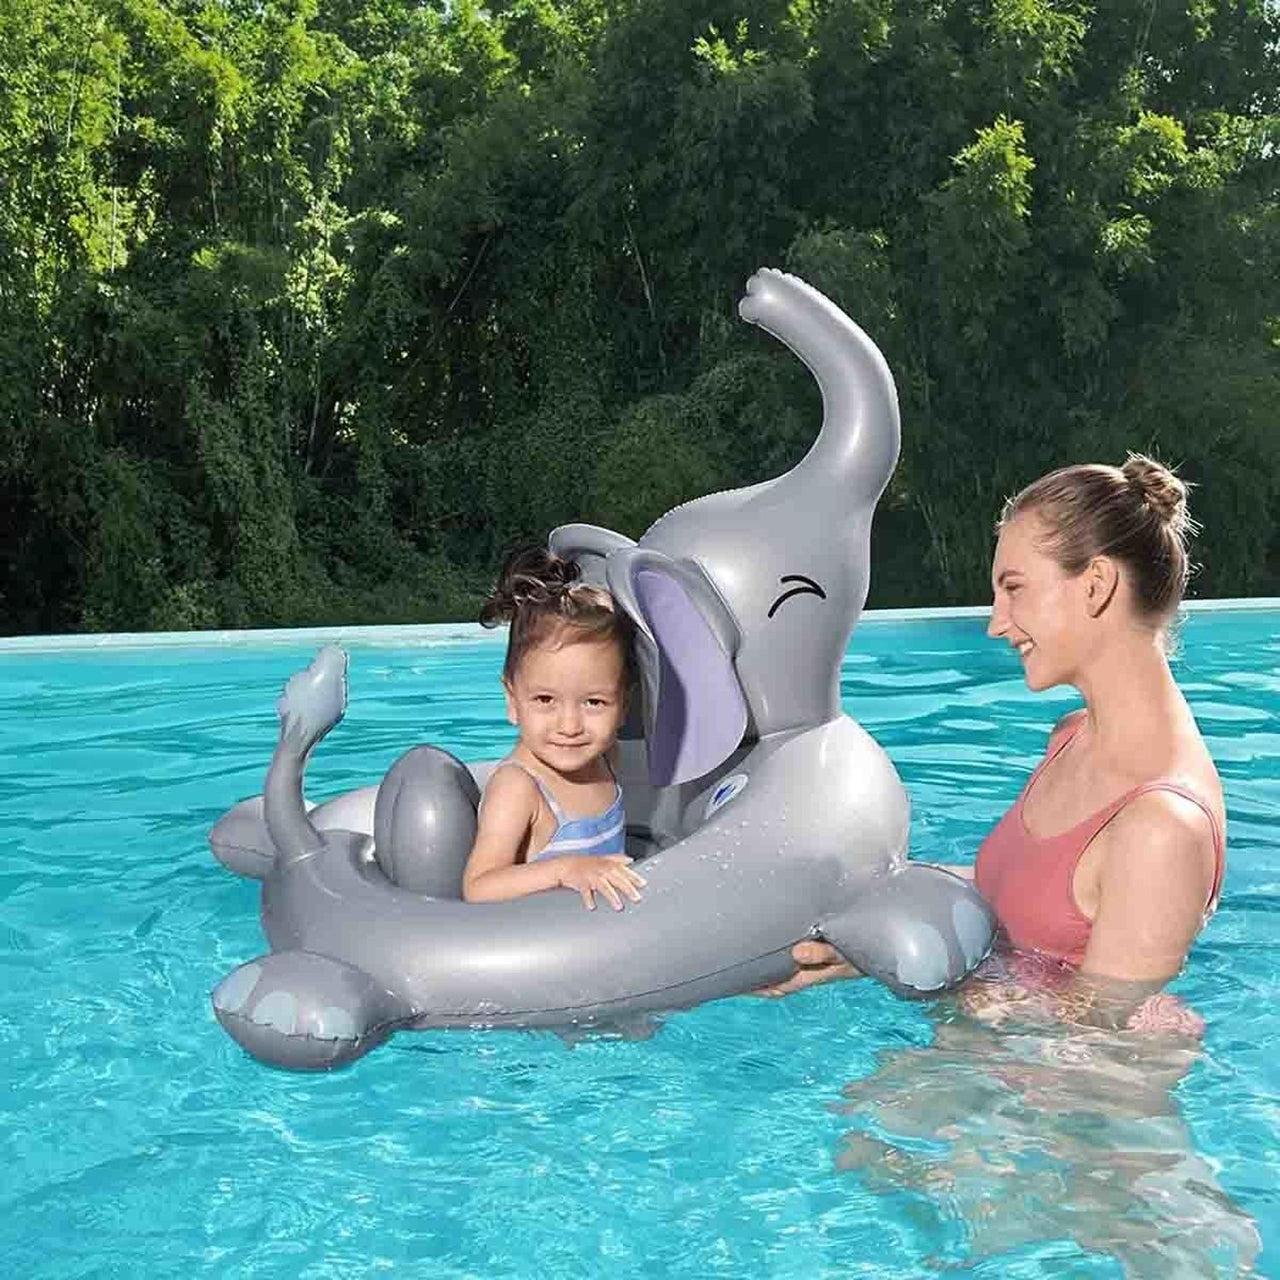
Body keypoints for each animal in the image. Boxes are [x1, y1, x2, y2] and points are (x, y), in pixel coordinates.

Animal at [208, 268, 995, 1071]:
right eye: (801, 593)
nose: (758, 293)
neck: (775, 741)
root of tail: (308, 857)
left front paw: (940, 930)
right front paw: (945, 932)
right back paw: (281, 999)